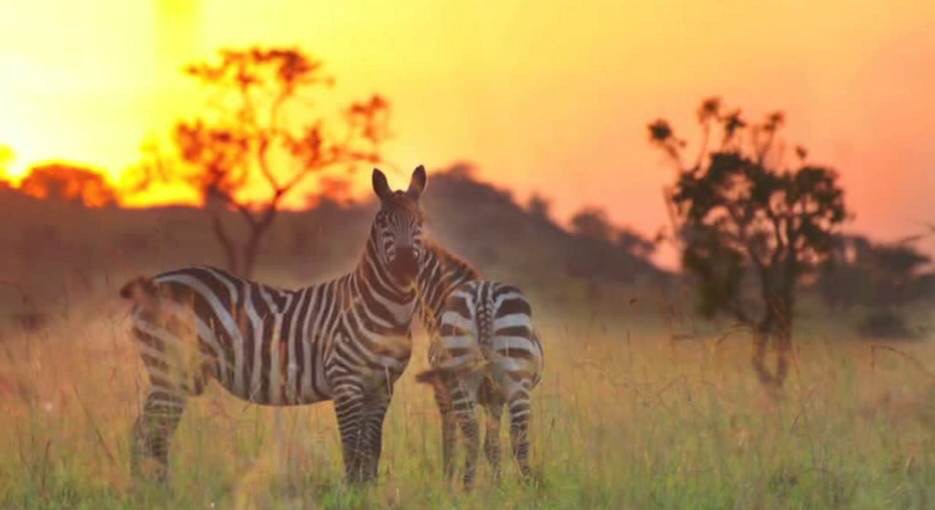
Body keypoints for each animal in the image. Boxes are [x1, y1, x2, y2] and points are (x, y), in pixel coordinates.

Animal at [120, 166, 429, 484]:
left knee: (153, 433)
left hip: (177, 375)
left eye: (420, 221)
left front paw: (368, 490)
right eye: (382, 222)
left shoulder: (382, 387)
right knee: (147, 434)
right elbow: (352, 449)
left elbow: (372, 449)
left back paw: (152, 486)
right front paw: (352, 491)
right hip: (169, 369)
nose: (405, 266)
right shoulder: (345, 381)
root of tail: (152, 284)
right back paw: (153, 488)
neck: (386, 312)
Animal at [415, 280, 543, 489]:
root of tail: (484, 293)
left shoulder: (479, 398)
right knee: (514, 435)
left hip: (465, 378)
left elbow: (480, 442)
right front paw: (497, 485)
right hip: (511, 378)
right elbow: (488, 443)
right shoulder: (492, 399)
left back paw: (470, 487)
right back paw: (525, 486)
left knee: (474, 434)